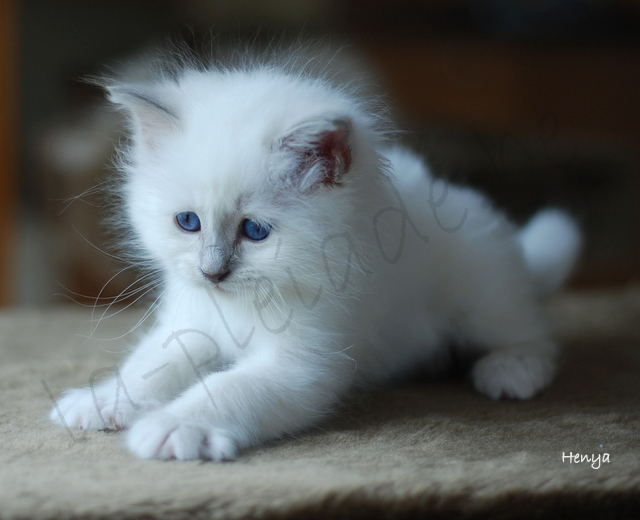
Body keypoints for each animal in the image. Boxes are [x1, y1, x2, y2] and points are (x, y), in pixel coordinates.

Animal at [50, 51, 580, 460]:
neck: (242, 307)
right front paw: (101, 401)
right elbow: (147, 367)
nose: (211, 272)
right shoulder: (191, 324)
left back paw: (510, 371)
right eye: (188, 222)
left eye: (255, 231)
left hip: (479, 294)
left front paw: (173, 427)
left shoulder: (303, 363)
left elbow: (226, 389)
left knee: (535, 337)